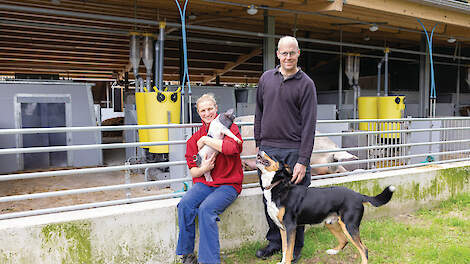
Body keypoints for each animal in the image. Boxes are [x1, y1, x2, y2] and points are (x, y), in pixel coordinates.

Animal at [255, 151, 394, 264]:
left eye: (272, 155)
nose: (259, 150)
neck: (276, 187)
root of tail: (358, 195)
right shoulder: (282, 228)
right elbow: (284, 250)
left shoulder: (290, 227)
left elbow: (289, 251)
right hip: (331, 223)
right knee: (344, 240)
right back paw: (333, 251)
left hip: (349, 226)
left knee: (364, 249)